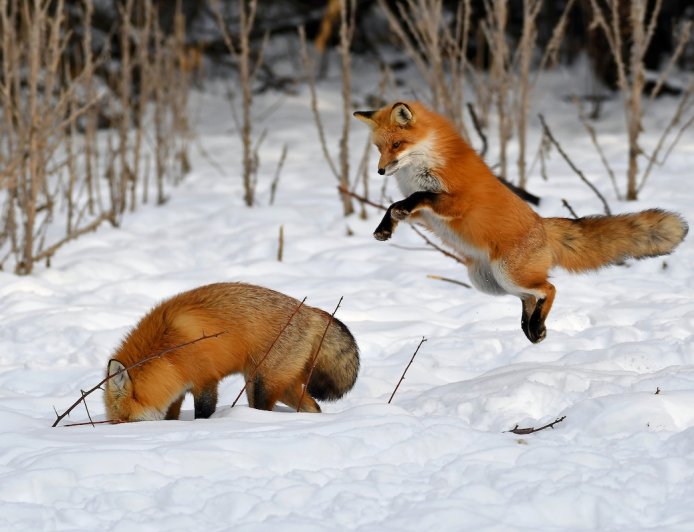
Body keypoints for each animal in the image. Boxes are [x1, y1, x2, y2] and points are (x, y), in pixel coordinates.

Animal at [104, 283, 359, 422]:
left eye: (123, 420)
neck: (167, 352)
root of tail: (309, 310)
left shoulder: (205, 380)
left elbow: (204, 412)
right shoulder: (176, 391)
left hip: (261, 385)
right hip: (280, 385)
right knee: (313, 408)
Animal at [354, 101, 688, 343]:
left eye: (397, 144)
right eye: (379, 148)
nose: (380, 171)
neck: (422, 164)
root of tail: (542, 223)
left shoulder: (456, 201)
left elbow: (419, 195)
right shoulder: (423, 214)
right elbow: (396, 206)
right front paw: (385, 228)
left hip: (509, 274)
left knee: (549, 289)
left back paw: (536, 326)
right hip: (491, 282)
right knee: (531, 297)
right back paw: (533, 328)